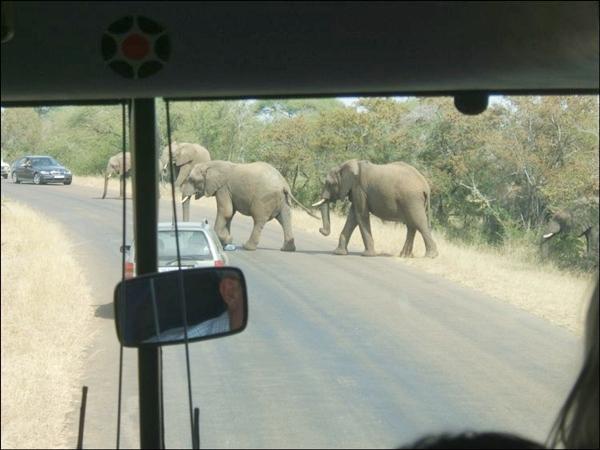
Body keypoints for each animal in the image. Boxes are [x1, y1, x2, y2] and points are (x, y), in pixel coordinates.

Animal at [180, 160, 318, 251]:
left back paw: (247, 247)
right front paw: (226, 242)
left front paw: (226, 240)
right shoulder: (228, 191)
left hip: (264, 199)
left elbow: (226, 212)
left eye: (192, 180)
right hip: (283, 201)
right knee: (285, 219)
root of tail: (283, 185)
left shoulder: (223, 188)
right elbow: (230, 214)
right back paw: (287, 249)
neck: (211, 165)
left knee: (259, 219)